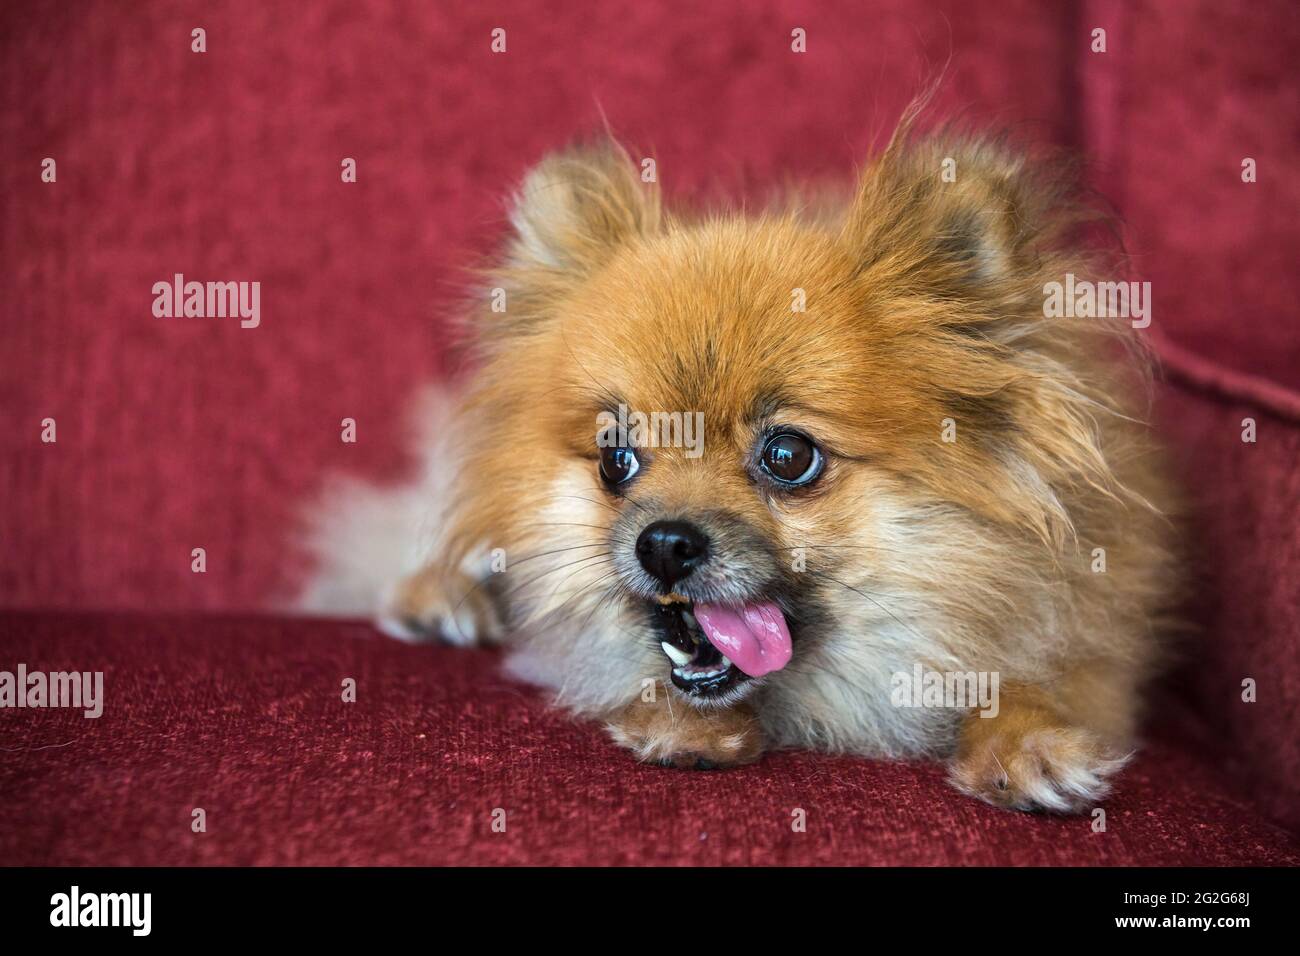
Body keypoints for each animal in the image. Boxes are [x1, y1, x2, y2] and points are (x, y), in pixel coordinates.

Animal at [301, 111, 1180, 816]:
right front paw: (684, 724)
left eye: (788, 456)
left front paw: (1027, 742)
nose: (664, 542)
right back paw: (439, 592)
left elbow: (1045, 676)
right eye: (616, 459)